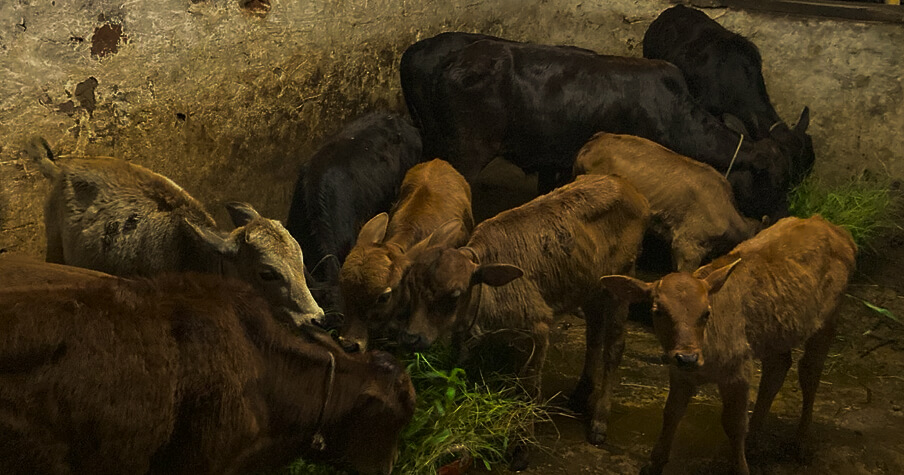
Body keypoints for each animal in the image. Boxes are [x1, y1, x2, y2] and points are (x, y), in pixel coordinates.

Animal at [399, 174, 651, 447]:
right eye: (411, 285)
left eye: (454, 293)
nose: (411, 337)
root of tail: (626, 185)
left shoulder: (539, 327)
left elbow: (530, 389)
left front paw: (524, 440)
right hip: (590, 288)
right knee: (593, 336)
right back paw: (580, 394)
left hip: (621, 282)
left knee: (614, 347)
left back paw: (599, 421)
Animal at [600, 216, 857, 475]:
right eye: (658, 311)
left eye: (706, 312)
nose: (687, 357)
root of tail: (831, 226)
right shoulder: (680, 374)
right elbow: (671, 413)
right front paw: (653, 465)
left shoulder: (738, 371)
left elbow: (734, 424)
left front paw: (741, 468)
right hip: (775, 333)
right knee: (777, 369)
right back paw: (754, 441)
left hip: (828, 321)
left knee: (809, 372)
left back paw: (800, 443)